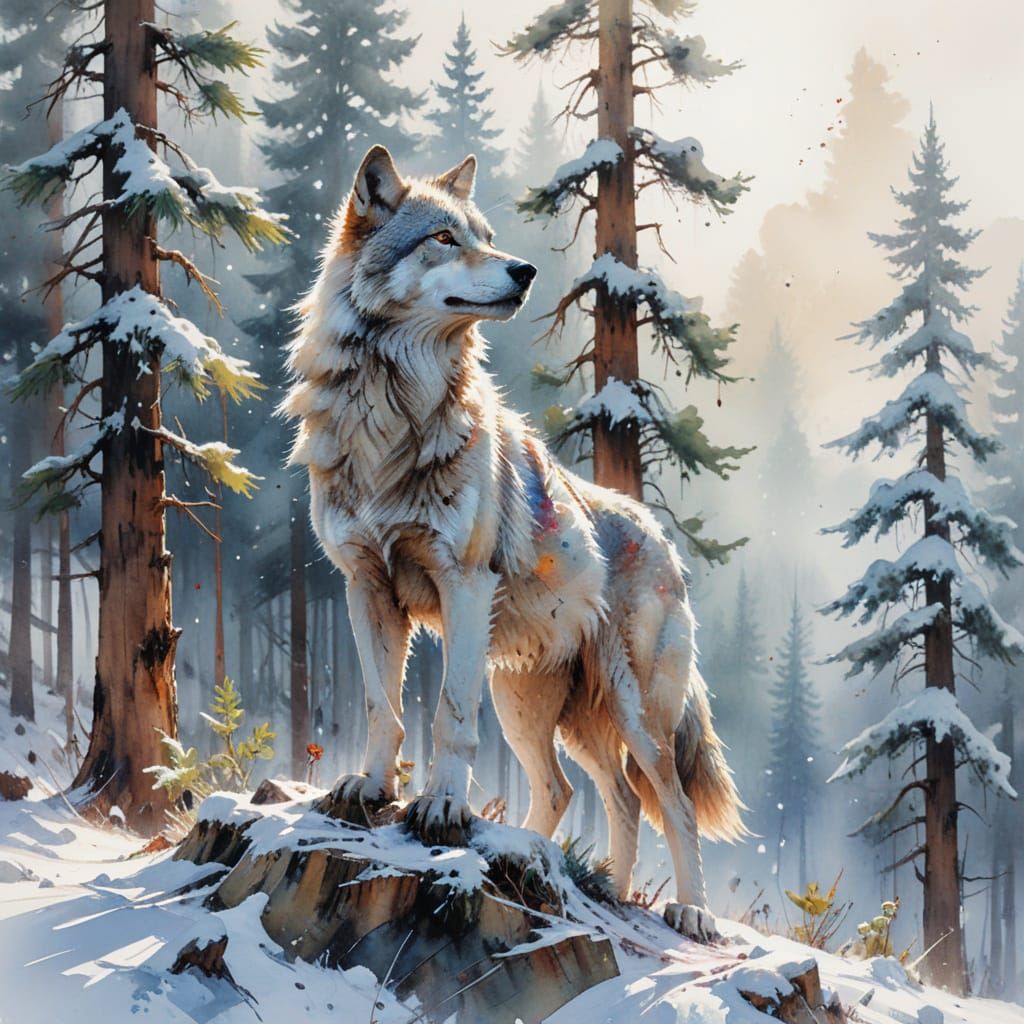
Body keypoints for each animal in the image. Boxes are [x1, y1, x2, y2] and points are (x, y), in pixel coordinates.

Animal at [280, 145, 744, 942]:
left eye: (487, 236)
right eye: (443, 238)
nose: (523, 271)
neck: (389, 413)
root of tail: (661, 537)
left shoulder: (463, 585)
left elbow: (447, 718)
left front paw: (441, 808)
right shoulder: (364, 587)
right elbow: (382, 706)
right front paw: (368, 789)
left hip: (628, 711)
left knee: (671, 802)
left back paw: (689, 913)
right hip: (533, 706)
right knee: (588, 795)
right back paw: (591, 882)